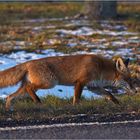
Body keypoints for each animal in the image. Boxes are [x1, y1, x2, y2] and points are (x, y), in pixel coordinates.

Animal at [0, 54, 136, 110]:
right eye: (129, 79)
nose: (135, 91)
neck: (101, 68)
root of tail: (28, 62)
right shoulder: (80, 82)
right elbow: (77, 98)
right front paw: (76, 108)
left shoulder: (93, 87)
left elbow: (109, 94)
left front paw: (118, 104)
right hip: (50, 82)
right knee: (28, 88)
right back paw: (38, 102)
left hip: (33, 87)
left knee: (10, 96)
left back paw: (8, 108)